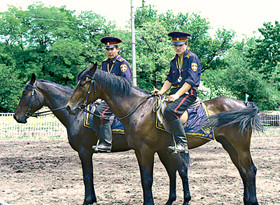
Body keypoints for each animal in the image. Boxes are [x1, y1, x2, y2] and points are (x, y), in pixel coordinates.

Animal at [65, 63, 262, 204]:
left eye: (82, 84)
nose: (69, 107)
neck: (138, 109)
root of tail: (243, 104)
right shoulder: (140, 151)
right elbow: (146, 179)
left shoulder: (146, 150)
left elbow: (147, 180)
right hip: (230, 146)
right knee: (242, 171)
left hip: (241, 146)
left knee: (250, 170)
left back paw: (252, 201)